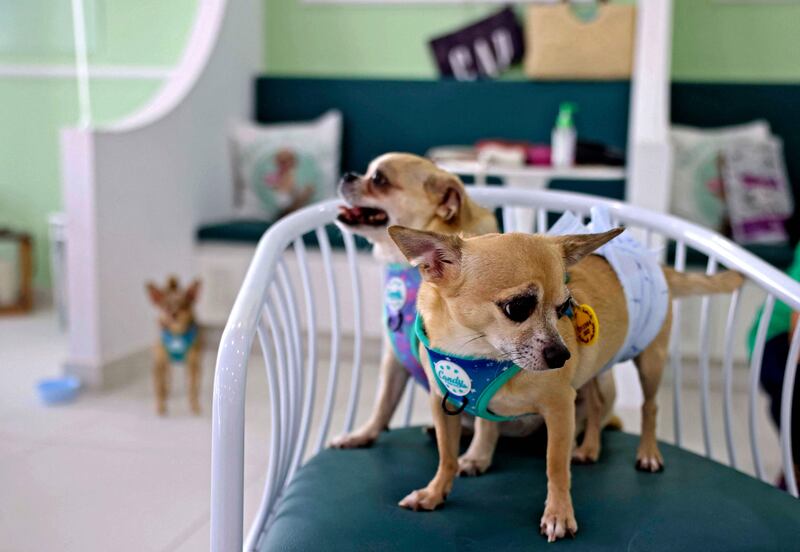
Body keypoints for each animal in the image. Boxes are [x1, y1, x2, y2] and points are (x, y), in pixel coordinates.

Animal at [146, 276, 203, 414]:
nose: (173, 313)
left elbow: (193, 388)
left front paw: (195, 405)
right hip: (166, 364)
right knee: (167, 377)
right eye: (165, 307)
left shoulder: (192, 364)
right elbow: (159, 387)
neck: (176, 333)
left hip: (195, 363)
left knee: (193, 380)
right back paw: (167, 390)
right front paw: (161, 406)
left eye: (184, 306)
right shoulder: (159, 364)